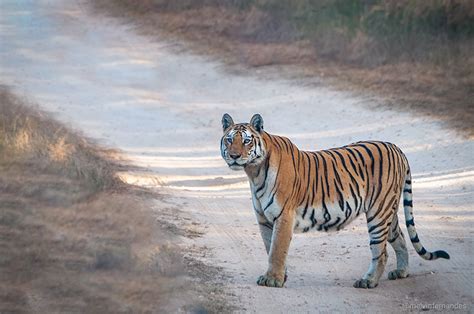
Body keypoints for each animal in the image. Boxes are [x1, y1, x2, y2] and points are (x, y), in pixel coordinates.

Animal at [220, 113, 450, 290]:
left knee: (381, 251)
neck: (254, 171)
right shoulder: (264, 219)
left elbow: (277, 250)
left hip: (378, 212)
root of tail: (396, 148)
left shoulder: (284, 216)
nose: (234, 156)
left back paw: (368, 281)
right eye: (229, 140)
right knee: (400, 238)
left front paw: (272, 280)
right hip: (388, 211)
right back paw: (401, 271)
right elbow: (270, 248)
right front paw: (279, 276)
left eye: (247, 140)